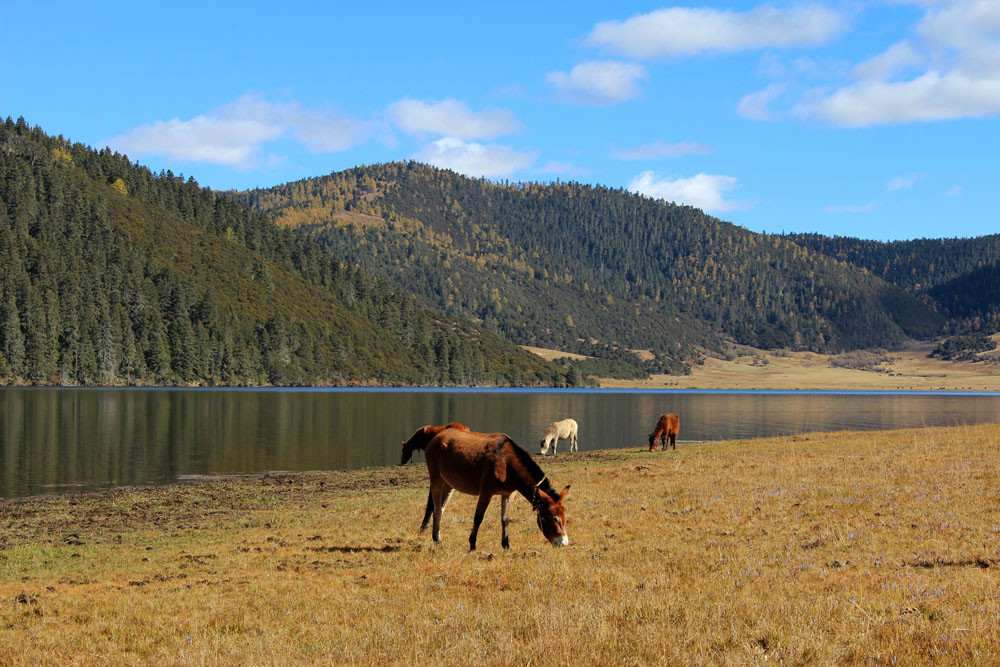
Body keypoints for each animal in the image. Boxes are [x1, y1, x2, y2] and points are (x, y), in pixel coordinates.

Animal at [420, 430, 572, 552]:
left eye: (565, 516)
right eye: (554, 517)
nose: (563, 543)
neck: (508, 463)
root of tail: (436, 437)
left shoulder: (509, 494)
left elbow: (505, 519)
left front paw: (506, 545)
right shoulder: (486, 492)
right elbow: (478, 518)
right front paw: (472, 545)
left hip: (448, 485)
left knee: (440, 509)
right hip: (437, 480)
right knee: (437, 509)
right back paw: (437, 540)